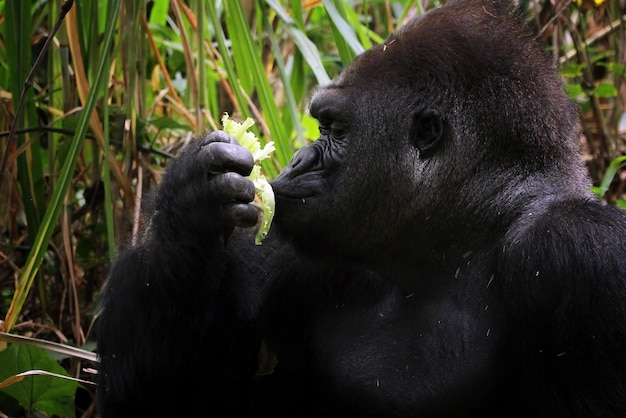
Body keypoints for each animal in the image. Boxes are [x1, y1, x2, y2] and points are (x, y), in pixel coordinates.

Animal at [95, 0, 624, 416]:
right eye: (320, 127)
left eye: (334, 129)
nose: (297, 159)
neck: (464, 239)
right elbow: (172, 397)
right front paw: (190, 207)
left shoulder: (580, 251)